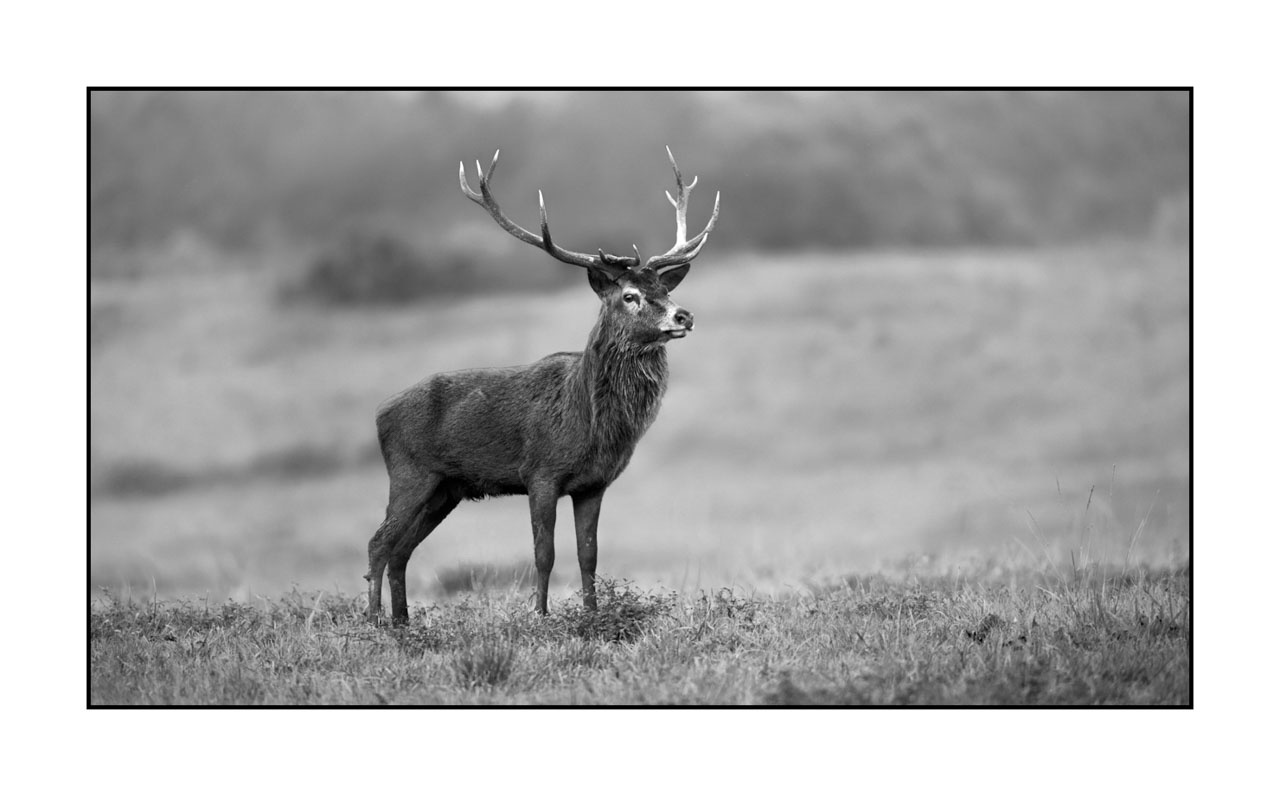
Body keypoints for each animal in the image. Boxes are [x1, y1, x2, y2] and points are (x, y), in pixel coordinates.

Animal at [365, 147, 719, 624]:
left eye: (664, 287)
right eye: (629, 295)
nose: (684, 315)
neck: (591, 424)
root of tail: (379, 413)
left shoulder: (593, 484)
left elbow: (588, 554)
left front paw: (592, 616)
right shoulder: (541, 472)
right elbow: (544, 553)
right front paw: (541, 616)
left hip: (446, 489)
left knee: (401, 550)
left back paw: (402, 623)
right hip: (410, 472)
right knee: (379, 542)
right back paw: (373, 622)